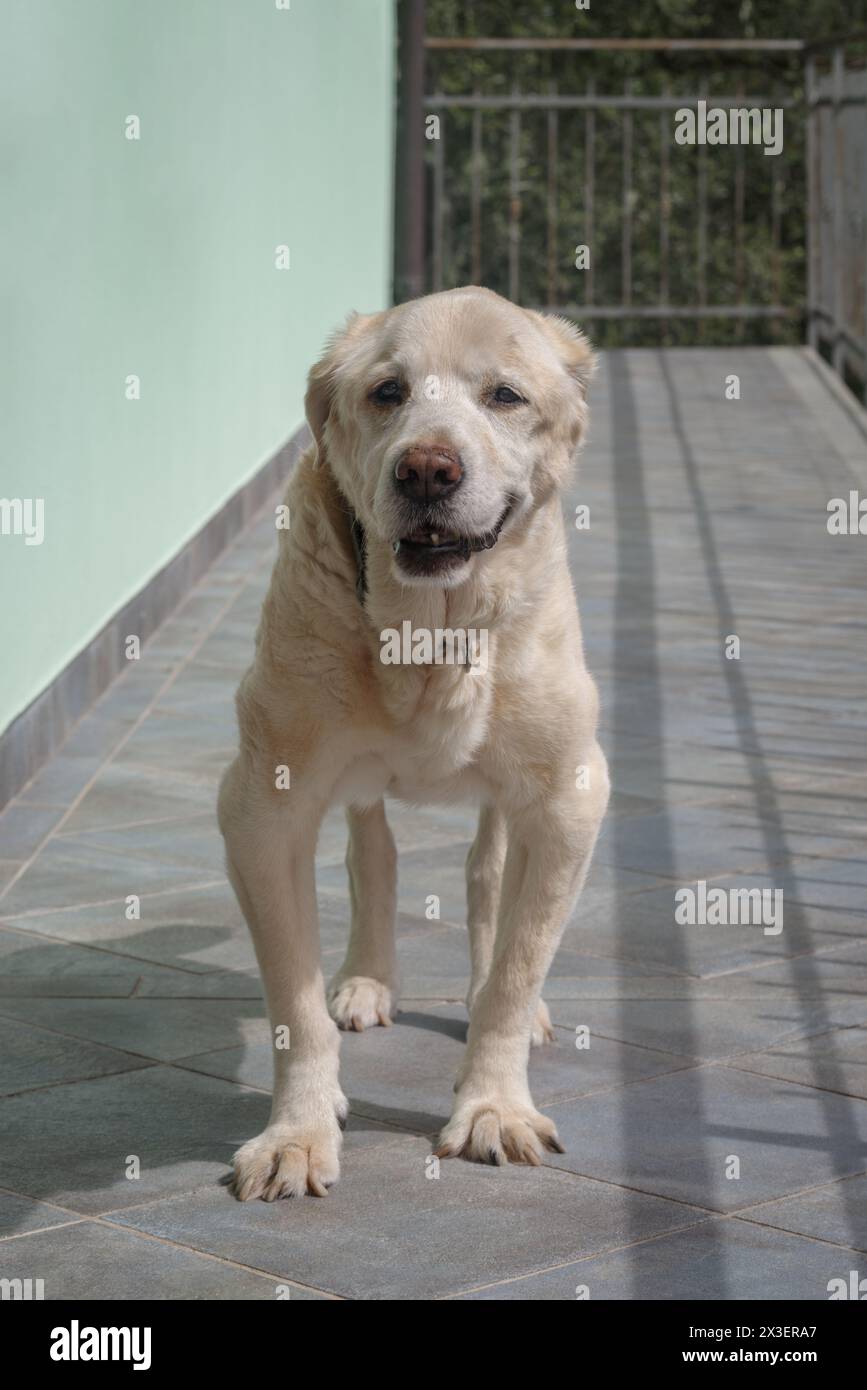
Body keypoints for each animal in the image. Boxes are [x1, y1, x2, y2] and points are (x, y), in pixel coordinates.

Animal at [216, 287, 608, 1200]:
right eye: (387, 392)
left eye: (505, 395)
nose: (427, 468)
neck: (429, 636)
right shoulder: (262, 808)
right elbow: (293, 1006)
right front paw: (297, 1132)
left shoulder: (568, 797)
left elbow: (514, 972)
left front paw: (493, 1105)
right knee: (373, 851)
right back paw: (365, 978)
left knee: (486, 877)